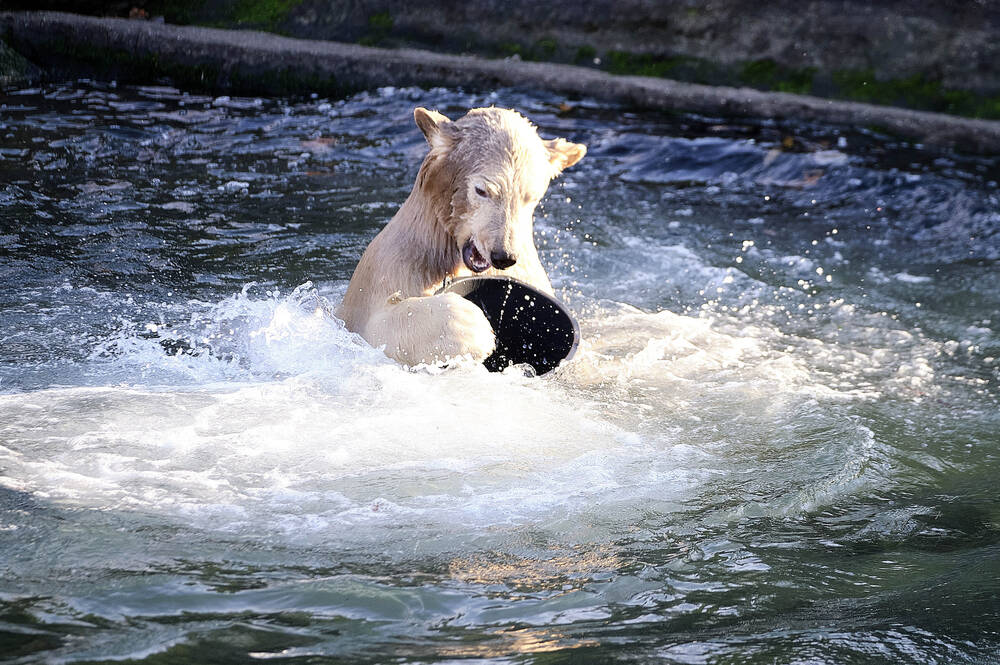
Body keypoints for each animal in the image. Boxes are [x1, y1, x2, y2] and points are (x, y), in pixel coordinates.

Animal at [336, 105, 584, 364]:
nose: (503, 255)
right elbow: (378, 326)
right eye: (481, 190)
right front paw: (471, 326)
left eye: (531, 196)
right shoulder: (390, 268)